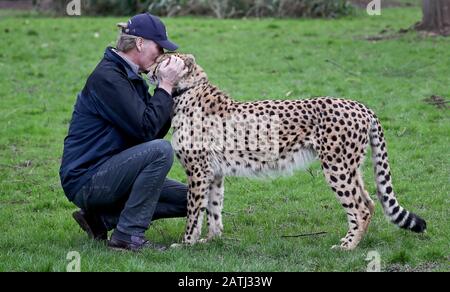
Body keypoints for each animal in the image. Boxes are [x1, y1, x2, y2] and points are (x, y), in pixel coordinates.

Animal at [147, 53, 426, 250]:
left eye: (162, 60)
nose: (148, 68)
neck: (186, 91)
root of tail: (361, 106)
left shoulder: (198, 172)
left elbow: (194, 212)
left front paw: (186, 243)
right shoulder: (213, 173)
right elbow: (213, 209)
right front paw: (212, 240)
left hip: (336, 166)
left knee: (360, 207)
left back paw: (347, 246)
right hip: (350, 166)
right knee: (369, 201)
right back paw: (354, 242)